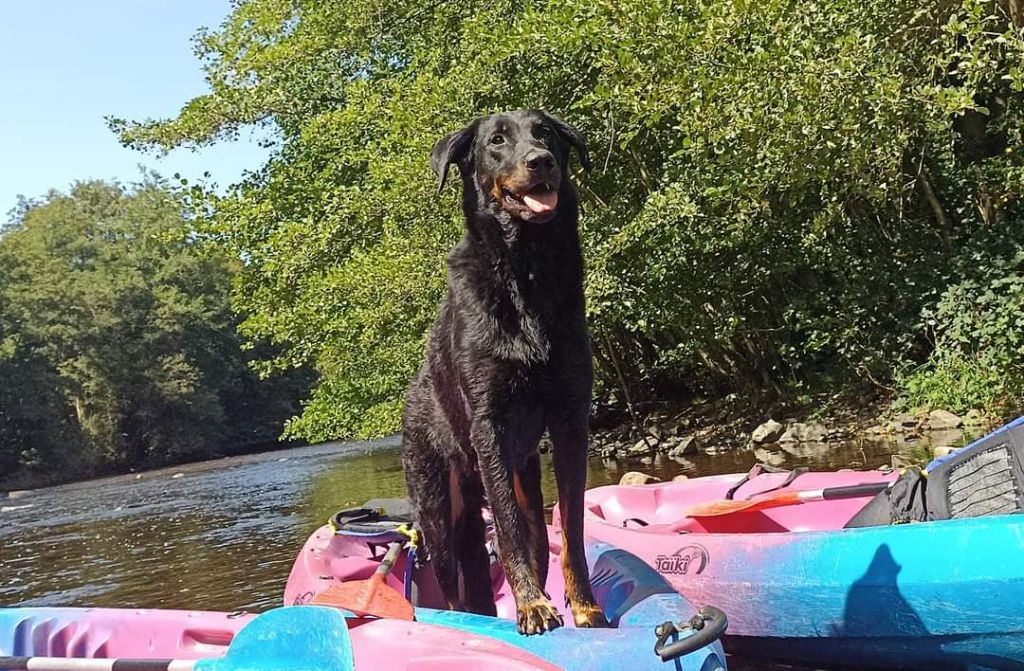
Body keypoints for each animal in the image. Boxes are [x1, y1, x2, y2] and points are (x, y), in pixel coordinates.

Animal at [399, 110, 606, 635]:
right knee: (453, 586)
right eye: (496, 141)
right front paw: (532, 606)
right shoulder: (488, 424)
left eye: (546, 133)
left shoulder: (571, 418)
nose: (541, 161)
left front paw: (585, 607)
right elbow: (508, 532)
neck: (526, 270)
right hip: (439, 509)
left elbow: (572, 526)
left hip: (518, 477)